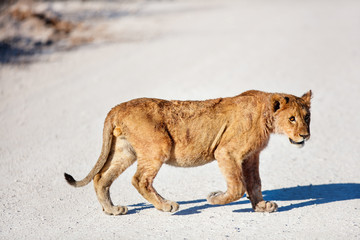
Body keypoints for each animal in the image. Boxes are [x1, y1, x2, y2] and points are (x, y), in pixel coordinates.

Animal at [64, 90, 312, 216]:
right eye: (292, 118)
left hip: (125, 151)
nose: (305, 136)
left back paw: (112, 210)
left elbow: (254, 184)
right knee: (139, 179)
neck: (266, 116)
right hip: (158, 146)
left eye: (307, 117)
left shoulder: (251, 156)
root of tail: (116, 108)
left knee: (101, 177)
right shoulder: (226, 151)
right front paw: (215, 198)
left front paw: (261, 207)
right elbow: (238, 186)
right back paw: (167, 206)